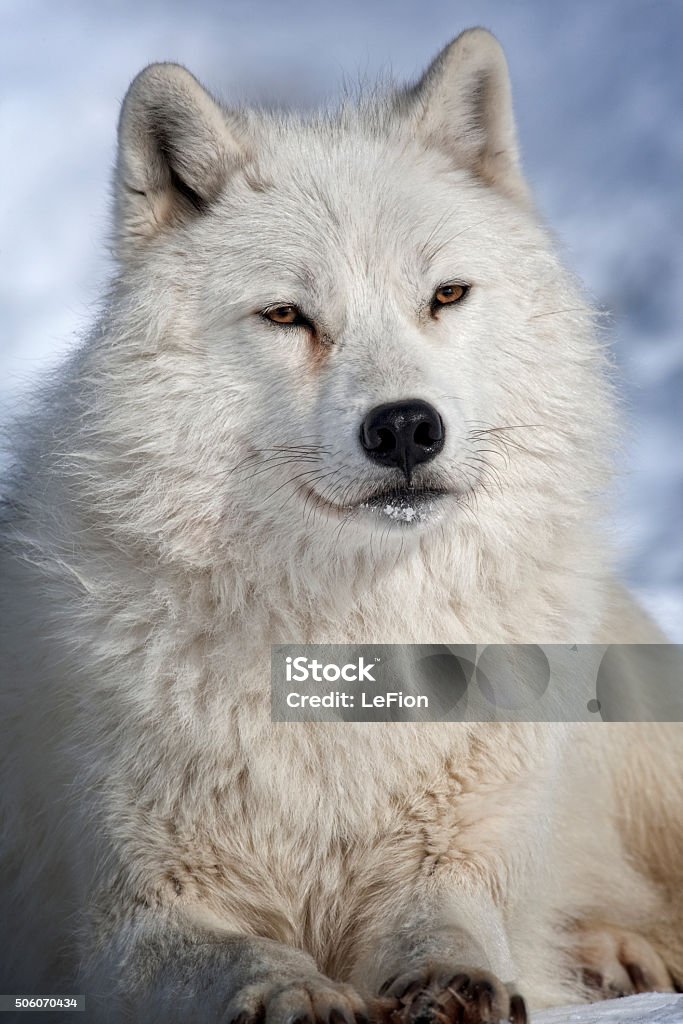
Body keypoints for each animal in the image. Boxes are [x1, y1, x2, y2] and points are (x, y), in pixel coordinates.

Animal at [1, 28, 683, 1019]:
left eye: (445, 296)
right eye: (288, 315)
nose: (404, 427)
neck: (348, 640)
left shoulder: (454, 857)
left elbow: (450, 926)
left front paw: (456, 983)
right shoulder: (131, 917)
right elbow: (231, 955)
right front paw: (297, 993)